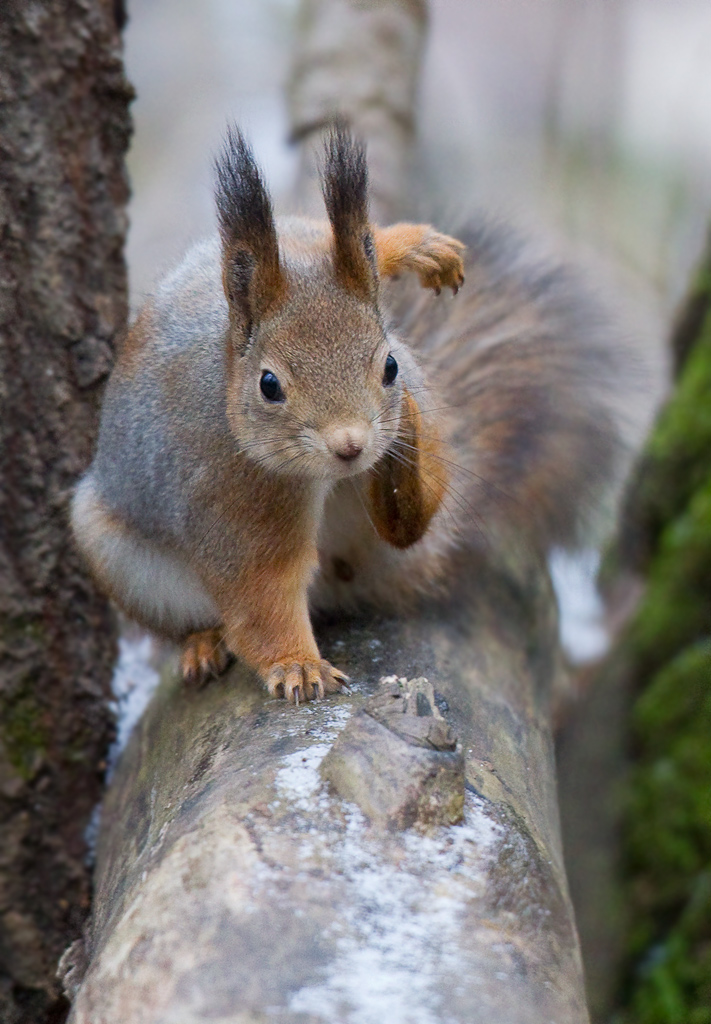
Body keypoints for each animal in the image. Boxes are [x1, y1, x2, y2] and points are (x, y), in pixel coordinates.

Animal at [69, 123, 622, 704]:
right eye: (269, 385)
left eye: (390, 366)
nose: (352, 445)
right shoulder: (234, 499)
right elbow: (261, 595)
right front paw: (296, 664)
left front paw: (413, 247)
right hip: (120, 558)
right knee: (191, 622)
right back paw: (200, 643)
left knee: (410, 525)